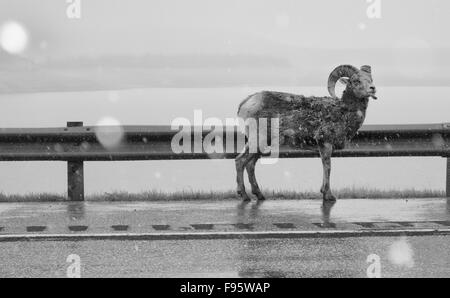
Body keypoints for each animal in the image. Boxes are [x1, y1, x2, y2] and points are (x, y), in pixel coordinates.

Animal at [236, 64, 376, 201]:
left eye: (370, 79)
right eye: (356, 81)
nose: (372, 88)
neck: (343, 113)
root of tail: (246, 103)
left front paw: (323, 192)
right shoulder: (325, 143)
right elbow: (327, 166)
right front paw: (329, 196)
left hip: (261, 144)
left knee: (250, 165)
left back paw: (259, 195)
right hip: (258, 140)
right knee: (241, 161)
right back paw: (244, 196)